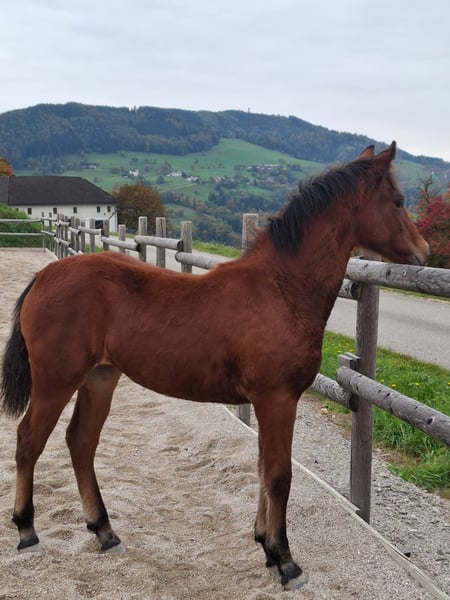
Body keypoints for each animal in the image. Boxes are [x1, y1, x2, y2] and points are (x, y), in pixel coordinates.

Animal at [1, 142, 428, 587]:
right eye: (398, 201)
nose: (424, 251)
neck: (281, 288)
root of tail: (44, 276)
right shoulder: (278, 399)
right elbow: (279, 476)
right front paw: (285, 559)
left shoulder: (268, 403)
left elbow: (263, 468)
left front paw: (265, 545)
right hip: (55, 381)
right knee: (29, 441)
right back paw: (27, 530)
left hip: (100, 378)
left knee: (81, 442)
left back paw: (104, 531)